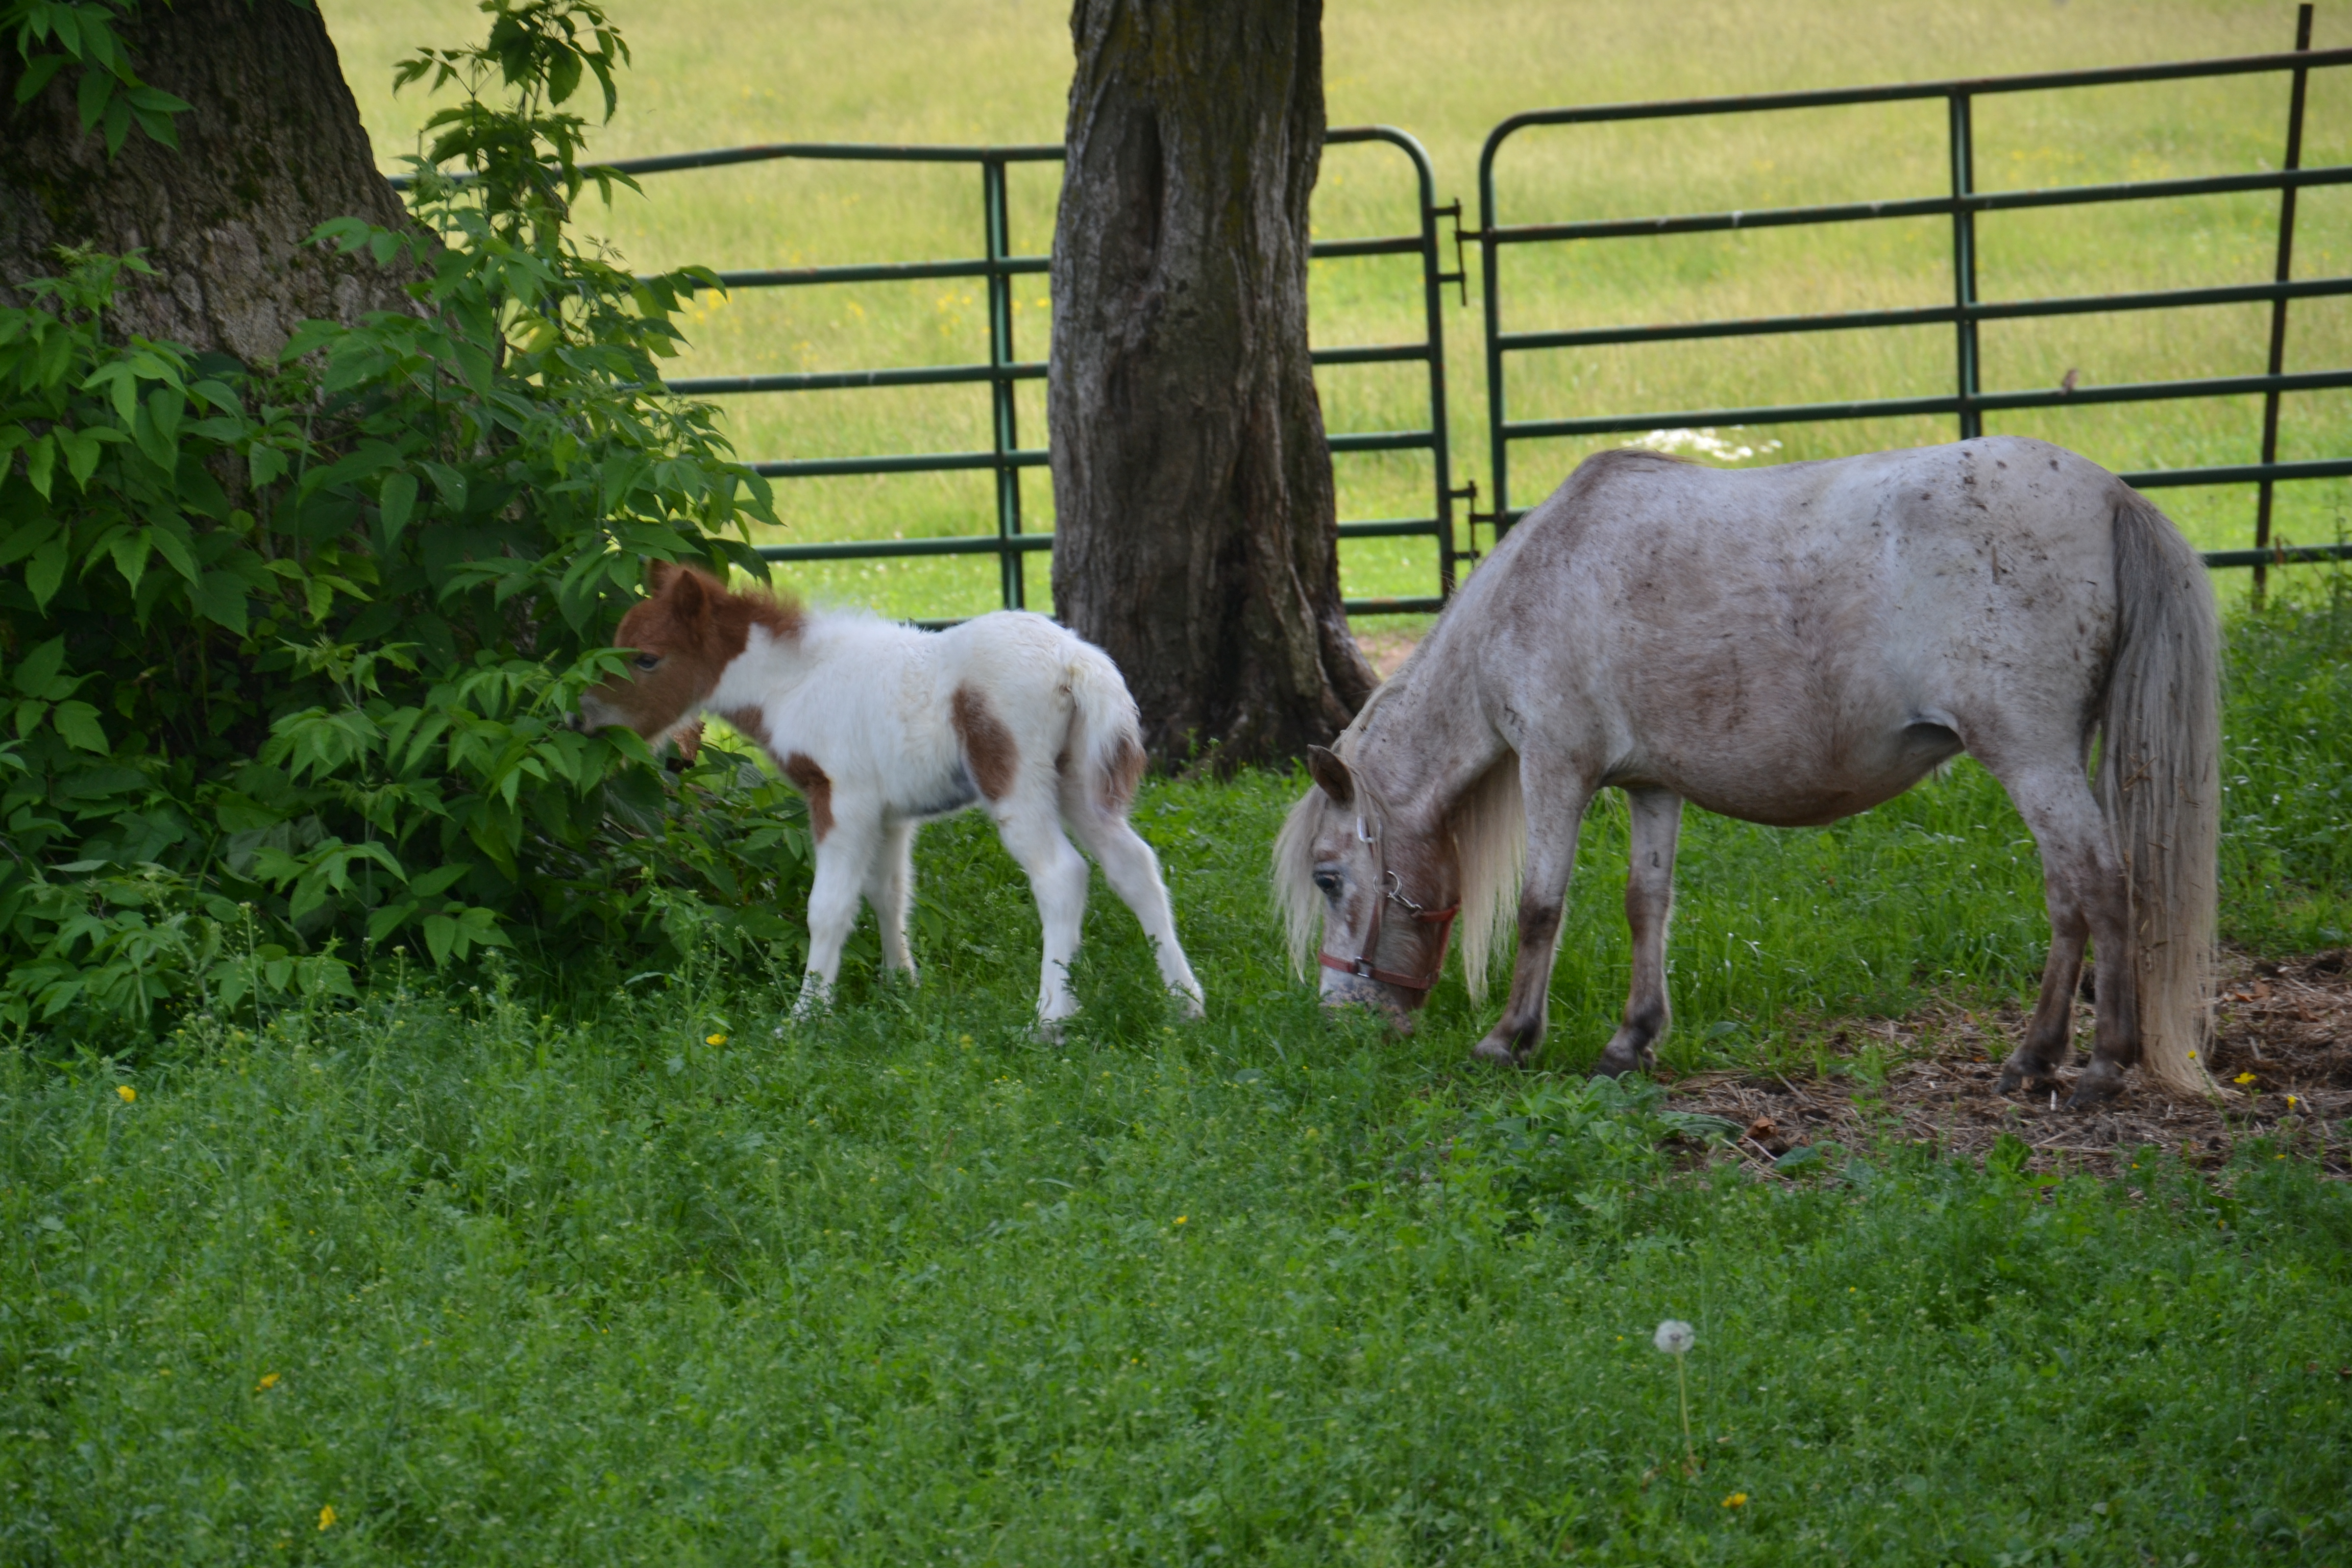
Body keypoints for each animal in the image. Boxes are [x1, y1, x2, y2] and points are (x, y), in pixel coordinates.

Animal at [576, 564, 1204, 1030]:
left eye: (647, 657)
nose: (579, 718)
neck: (795, 683)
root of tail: (1076, 661)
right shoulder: (891, 813)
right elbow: (889, 892)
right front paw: (902, 987)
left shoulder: (841, 798)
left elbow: (828, 907)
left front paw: (804, 1018)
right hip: (1077, 780)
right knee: (1134, 866)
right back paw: (1186, 1003)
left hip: (1016, 781)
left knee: (1062, 874)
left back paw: (1050, 1019)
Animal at [1279, 439, 2211, 1105]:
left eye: (1328, 877)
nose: (1339, 1019)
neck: (1536, 582)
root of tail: (2109, 493)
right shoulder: (1651, 787)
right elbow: (1645, 905)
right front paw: (1630, 1041)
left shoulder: (1554, 767)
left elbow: (1543, 909)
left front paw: (1508, 1039)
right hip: (2050, 763)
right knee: (2068, 894)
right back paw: (2036, 1057)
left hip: (2031, 757)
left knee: (2101, 883)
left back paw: (2098, 1065)